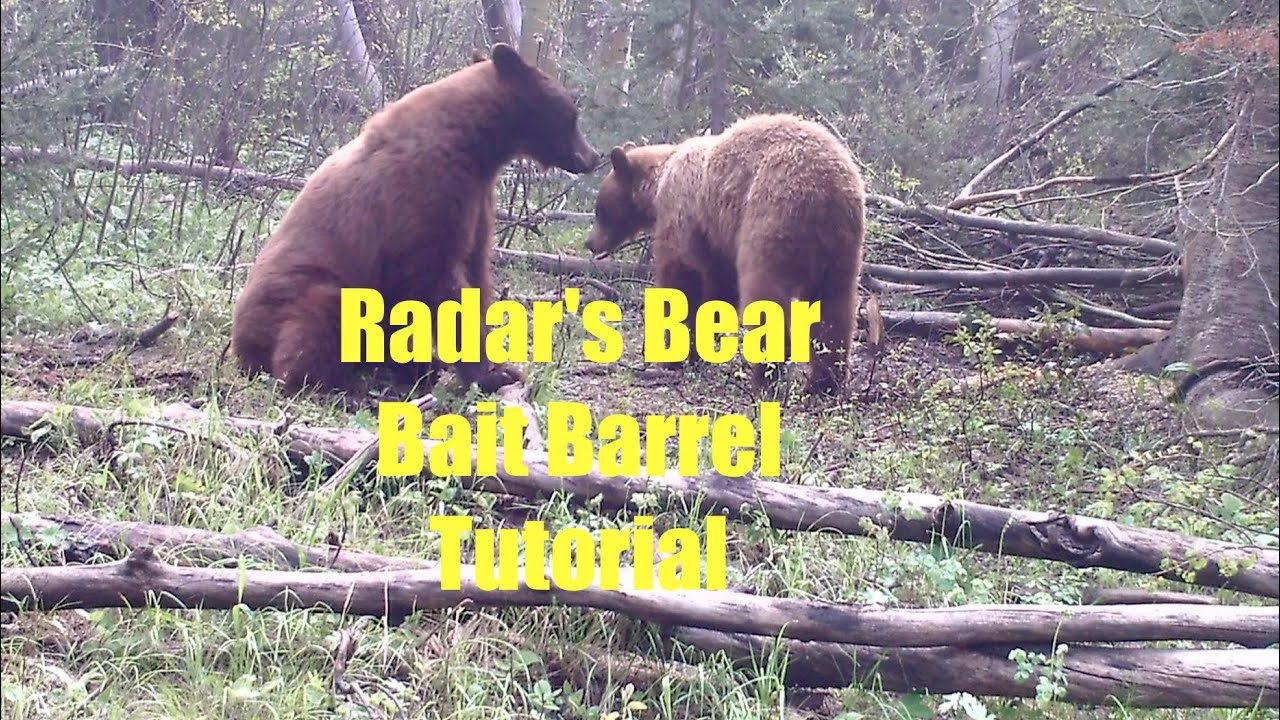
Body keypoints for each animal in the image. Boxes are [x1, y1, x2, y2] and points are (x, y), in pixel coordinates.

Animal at [231, 43, 600, 396]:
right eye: (573, 115)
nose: (593, 157)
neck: (475, 145)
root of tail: (240, 347)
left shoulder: (477, 198)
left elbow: (476, 269)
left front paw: (497, 364)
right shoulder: (423, 192)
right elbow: (436, 277)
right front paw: (491, 375)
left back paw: (417, 366)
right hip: (304, 293)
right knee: (321, 321)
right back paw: (332, 386)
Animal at [584, 113, 866, 396]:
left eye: (599, 209)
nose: (590, 243)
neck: (659, 181)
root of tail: (826, 188)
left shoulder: (681, 213)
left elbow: (681, 276)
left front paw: (671, 355)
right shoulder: (715, 237)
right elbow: (718, 288)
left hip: (772, 215)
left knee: (766, 294)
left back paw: (766, 375)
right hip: (842, 245)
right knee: (835, 309)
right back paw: (824, 381)